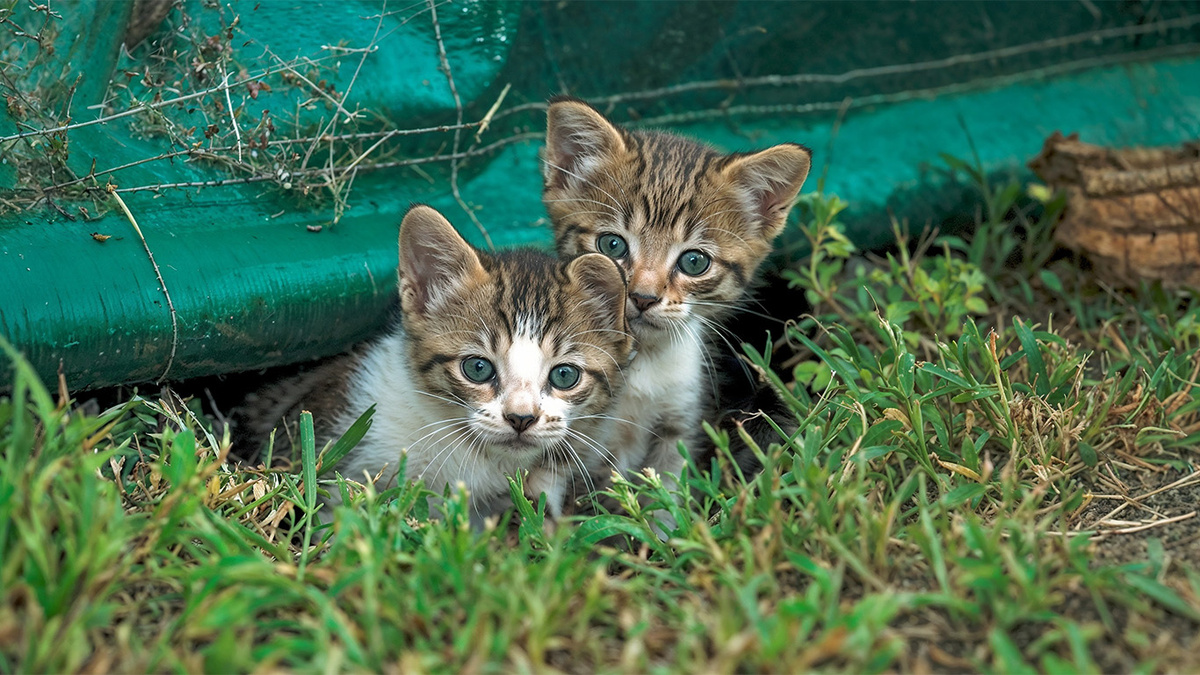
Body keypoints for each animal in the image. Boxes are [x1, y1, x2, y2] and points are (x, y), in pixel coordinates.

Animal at [547, 97, 816, 499]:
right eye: (612, 245)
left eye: (694, 261)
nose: (643, 297)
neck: (645, 362)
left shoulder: (682, 421)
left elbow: (670, 493)